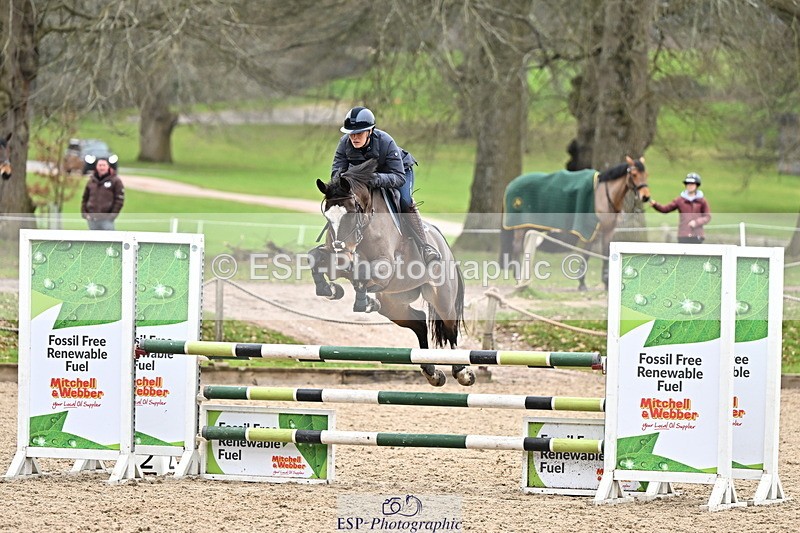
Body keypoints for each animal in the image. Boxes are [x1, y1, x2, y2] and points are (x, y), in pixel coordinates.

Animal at [309, 159, 473, 387]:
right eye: (327, 214)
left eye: (352, 211)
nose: (341, 249)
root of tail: (443, 242)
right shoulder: (338, 261)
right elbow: (315, 258)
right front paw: (331, 289)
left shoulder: (384, 267)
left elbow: (362, 272)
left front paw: (362, 301)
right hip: (394, 304)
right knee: (419, 321)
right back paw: (431, 372)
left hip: (443, 298)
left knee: (450, 328)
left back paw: (462, 372)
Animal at [500, 156, 650, 290]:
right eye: (634, 174)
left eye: (646, 175)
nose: (645, 196)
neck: (603, 197)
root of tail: (511, 184)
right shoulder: (591, 232)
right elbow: (586, 254)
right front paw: (582, 283)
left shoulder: (608, 231)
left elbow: (605, 254)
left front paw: (606, 283)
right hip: (520, 227)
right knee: (516, 248)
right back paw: (518, 278)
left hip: (529, 226)